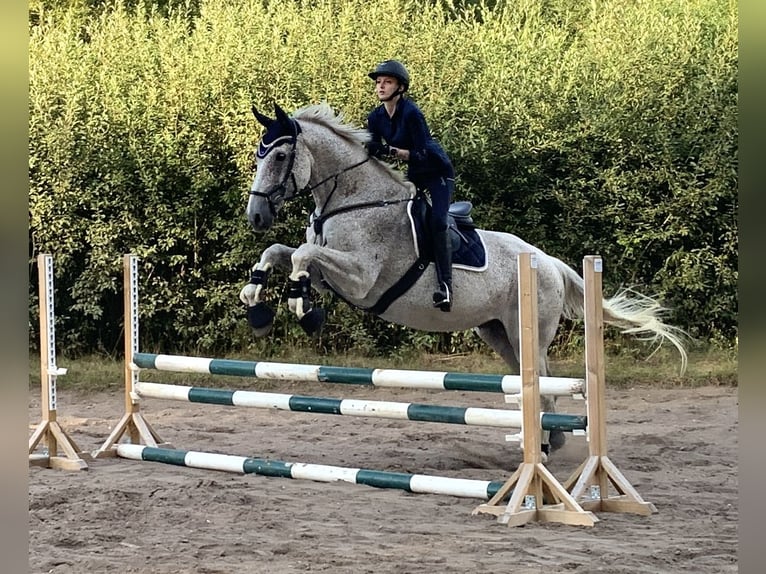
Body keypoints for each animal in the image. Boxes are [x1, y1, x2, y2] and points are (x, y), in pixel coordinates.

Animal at [240, 100, 688, 460]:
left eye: (280, 156)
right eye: (259, 156)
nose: (256, 217)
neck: (353, 200)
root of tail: (547, 262)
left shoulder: (362, 278)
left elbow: (301, 255)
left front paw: (303, 310)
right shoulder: (329, 275)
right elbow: (280, 253)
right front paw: (256, 305)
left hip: (527, 331)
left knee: (543, 383)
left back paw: (546, 447)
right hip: (497, 332)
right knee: (530, 381)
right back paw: (547, 442)